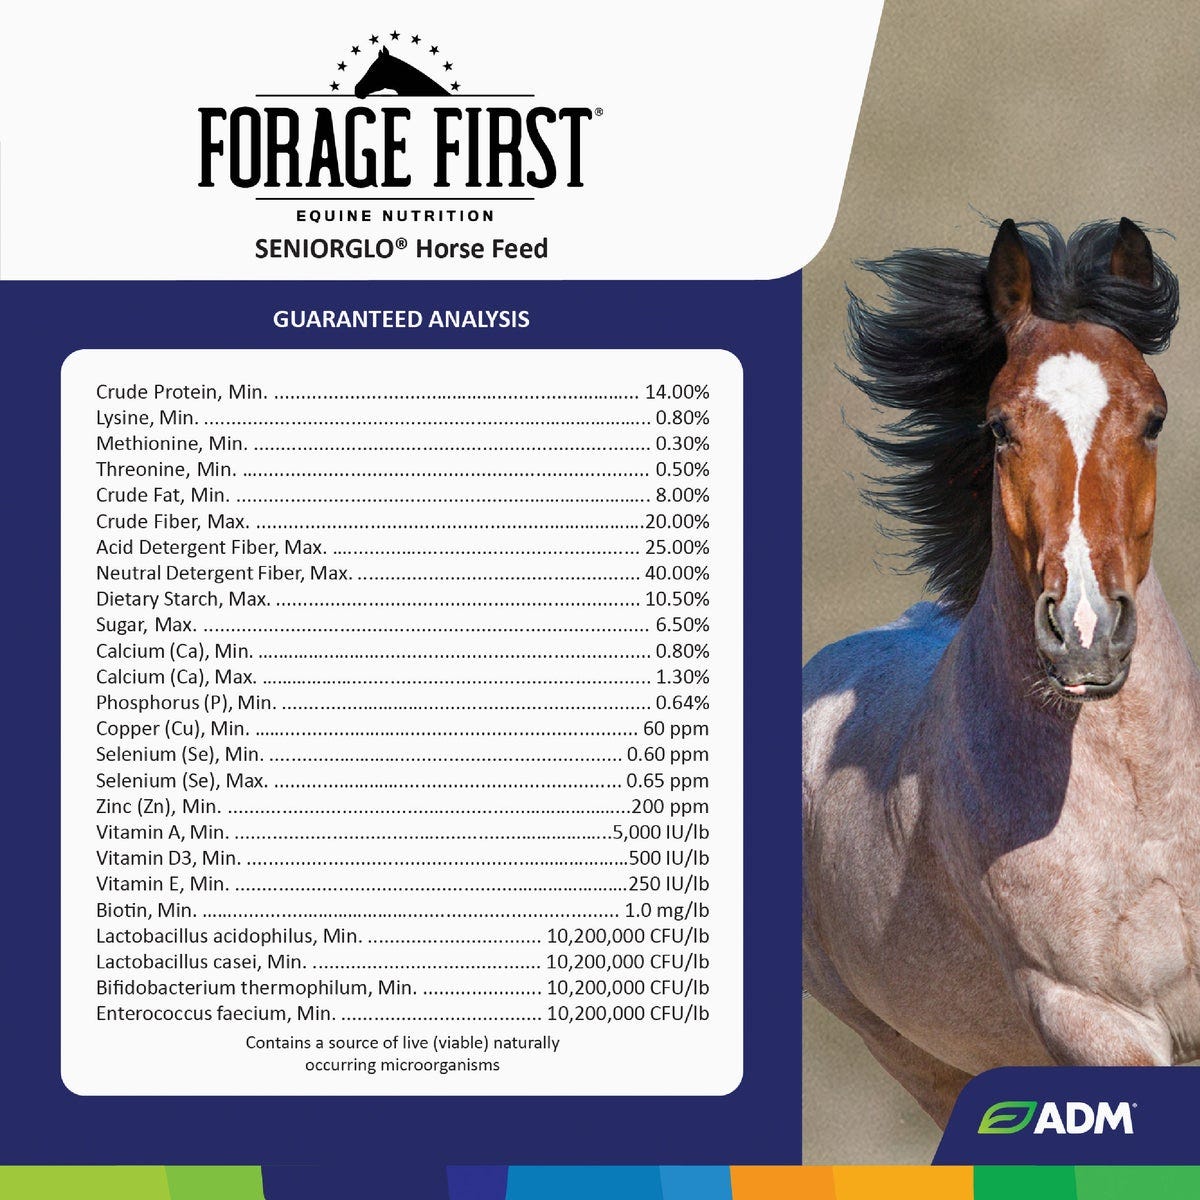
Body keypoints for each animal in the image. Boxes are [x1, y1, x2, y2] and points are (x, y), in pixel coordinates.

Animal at [802, 218, 1200, 1129]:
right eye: (997, 427)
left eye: (1154, 418)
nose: (1086, 634)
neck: (1138, 807)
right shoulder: (1095, 1022)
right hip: (924, 1061)